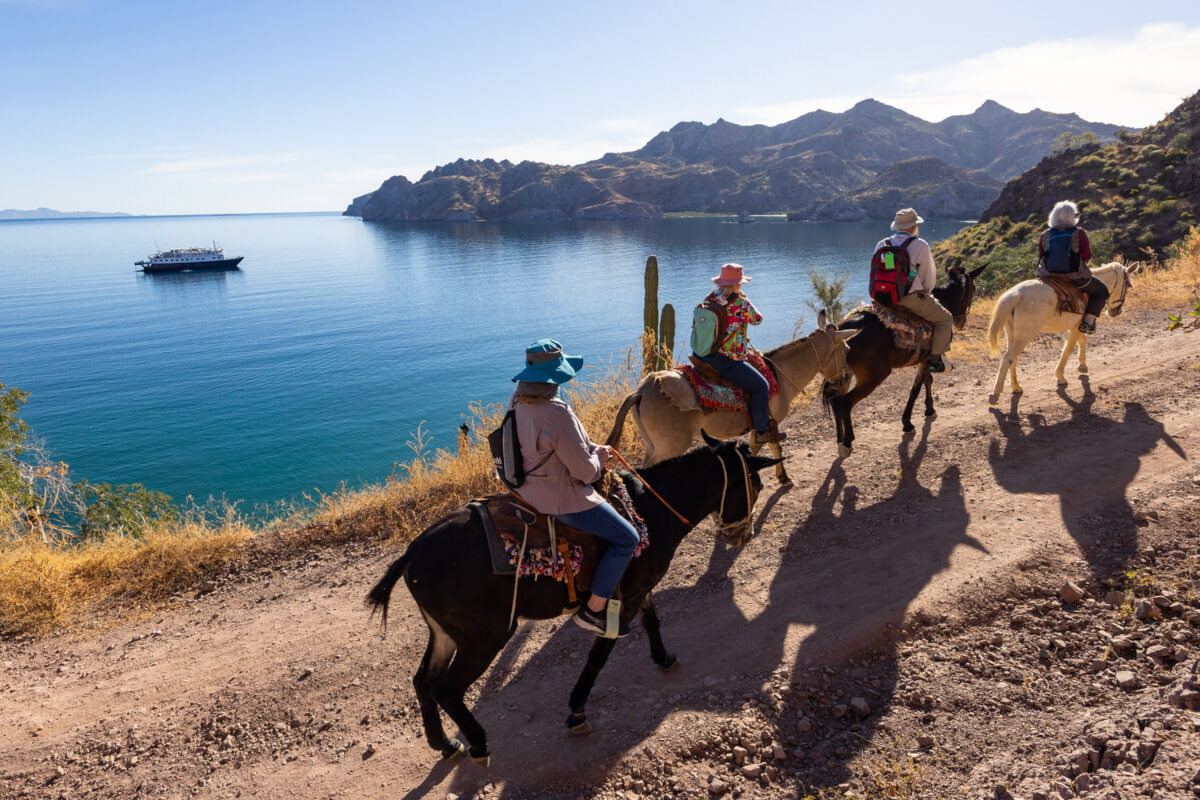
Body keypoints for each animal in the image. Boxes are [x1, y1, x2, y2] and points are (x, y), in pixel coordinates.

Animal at [609, 311, 854, 484]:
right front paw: (784, 478)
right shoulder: (769, 423)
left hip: (653, 444)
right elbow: (775, 448)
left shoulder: (759, 427)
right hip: (670, 446)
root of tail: (642, 390)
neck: (778, 375)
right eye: (846, 349)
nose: (844, 382)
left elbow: (755, 449)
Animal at [988, 262, 1137, 402]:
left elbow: (1082, 340)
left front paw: (1082, 365)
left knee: (1013, 358)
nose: (1116, 311)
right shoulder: (1077, 327)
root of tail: (1016, 295)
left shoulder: (1077, 325)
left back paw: (1016, 386)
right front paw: (1060, 376)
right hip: (1024, 335)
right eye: (1129, 285)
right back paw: (996, 393)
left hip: (1012, 334)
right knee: (1008, 357)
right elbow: (1069, 348)